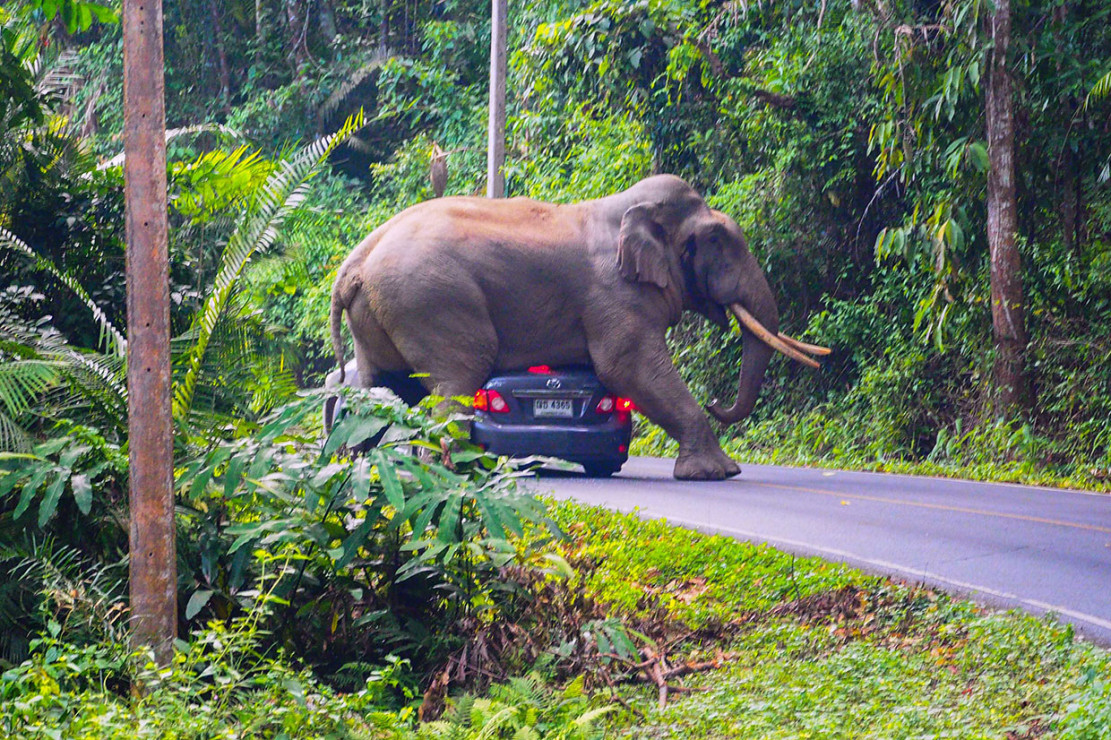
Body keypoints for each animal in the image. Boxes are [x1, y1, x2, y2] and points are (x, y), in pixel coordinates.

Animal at [328, 173, 826, 477]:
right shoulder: (614, 294)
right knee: (456, 378)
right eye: (718, 240)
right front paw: (718, 473)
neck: (627, 208)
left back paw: (365, 468)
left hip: (381, 314)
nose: (718, 401)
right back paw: (454, 471)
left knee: (384, 387)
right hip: (432, 302)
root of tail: (353, 263)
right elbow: (628, 368)